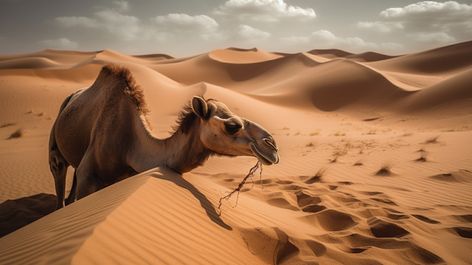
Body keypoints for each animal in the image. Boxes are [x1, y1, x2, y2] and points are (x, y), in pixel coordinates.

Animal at [49, 64, 280, 208]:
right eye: (232, 126)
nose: (272, 146)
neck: (130, 145)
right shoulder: (89, 176)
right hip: (56, 152)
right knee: (59, 181)